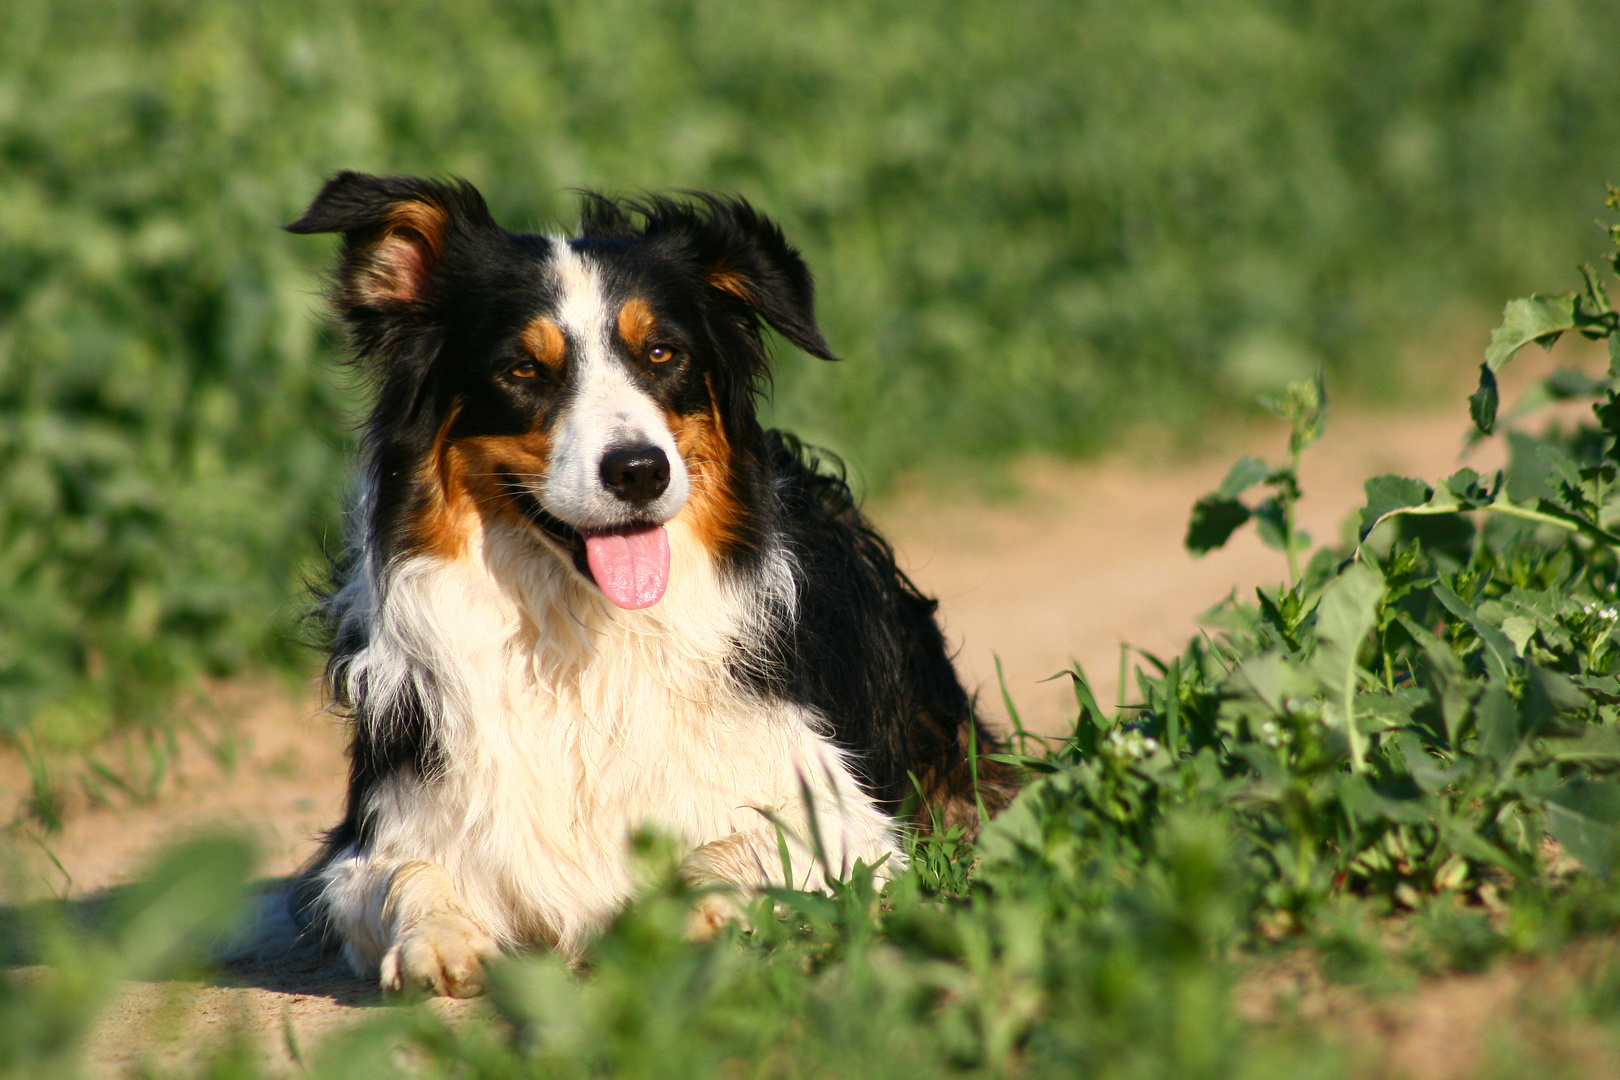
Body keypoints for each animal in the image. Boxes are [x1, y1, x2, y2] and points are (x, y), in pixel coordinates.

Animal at [280, 175, 1010, 997]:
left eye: (662, 352)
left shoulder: (845, 816)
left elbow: (732, 847)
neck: (580, 641)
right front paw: (438, 938)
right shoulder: (381, 831)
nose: (638, 471)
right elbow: (404, 875)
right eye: (522, 370)